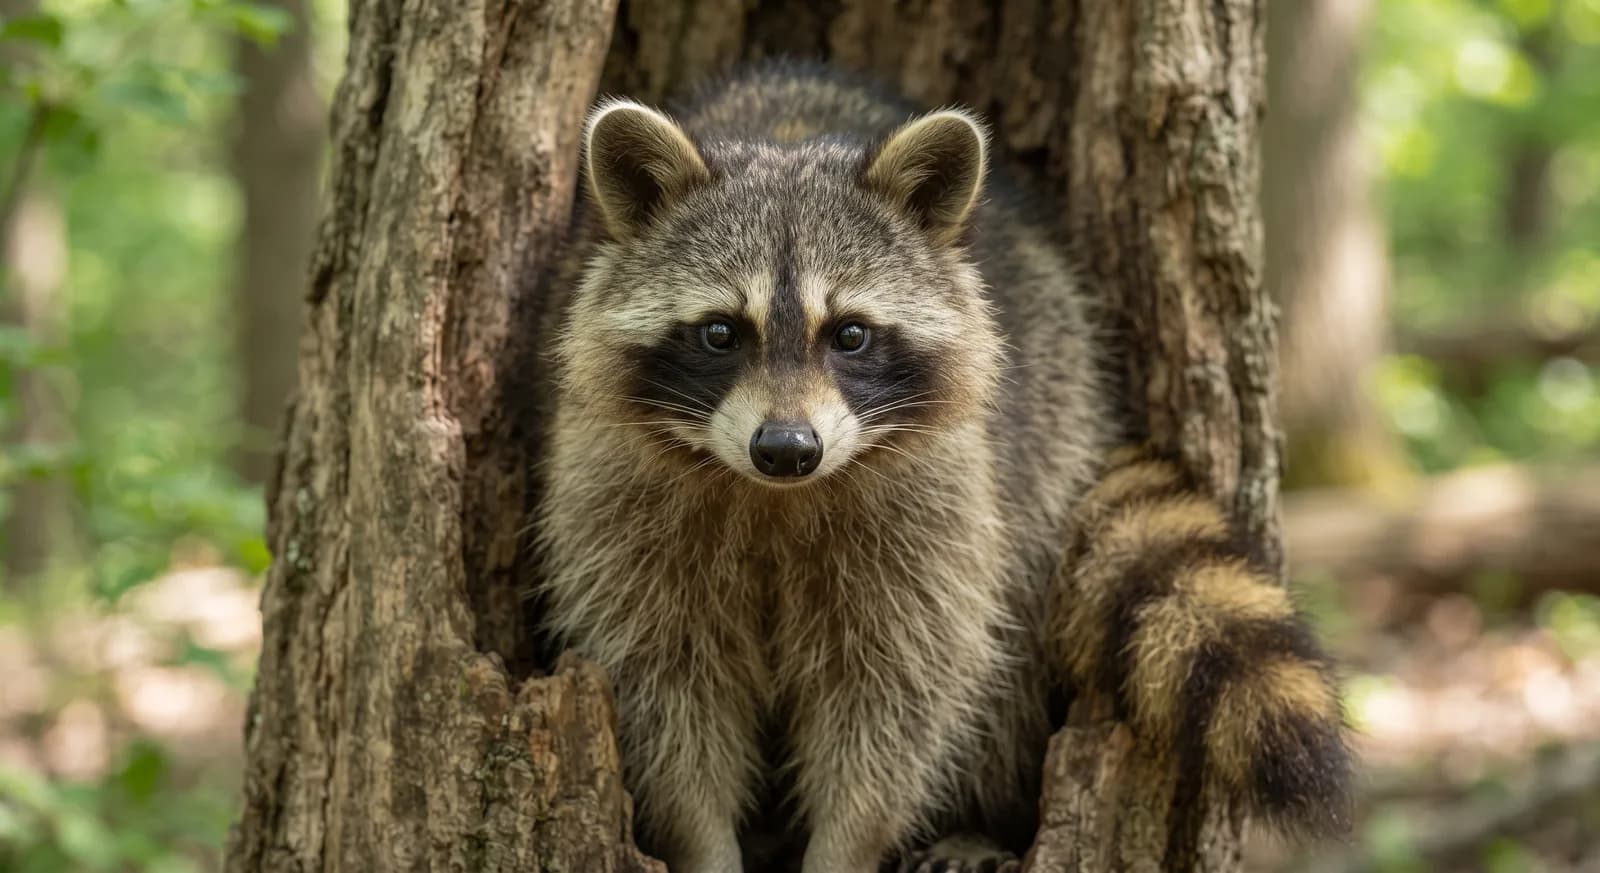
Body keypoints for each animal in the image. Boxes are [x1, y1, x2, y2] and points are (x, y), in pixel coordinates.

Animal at [534, 62, 1350, 873]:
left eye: (850, 335)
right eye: (720, 333)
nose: (788, 449)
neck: (774, 496)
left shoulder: (936, 501)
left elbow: (898, 696)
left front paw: (845, 845)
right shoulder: (615, 493)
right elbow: (669, 689)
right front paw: (703, 843)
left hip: (1047, 448)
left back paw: (981, 822)